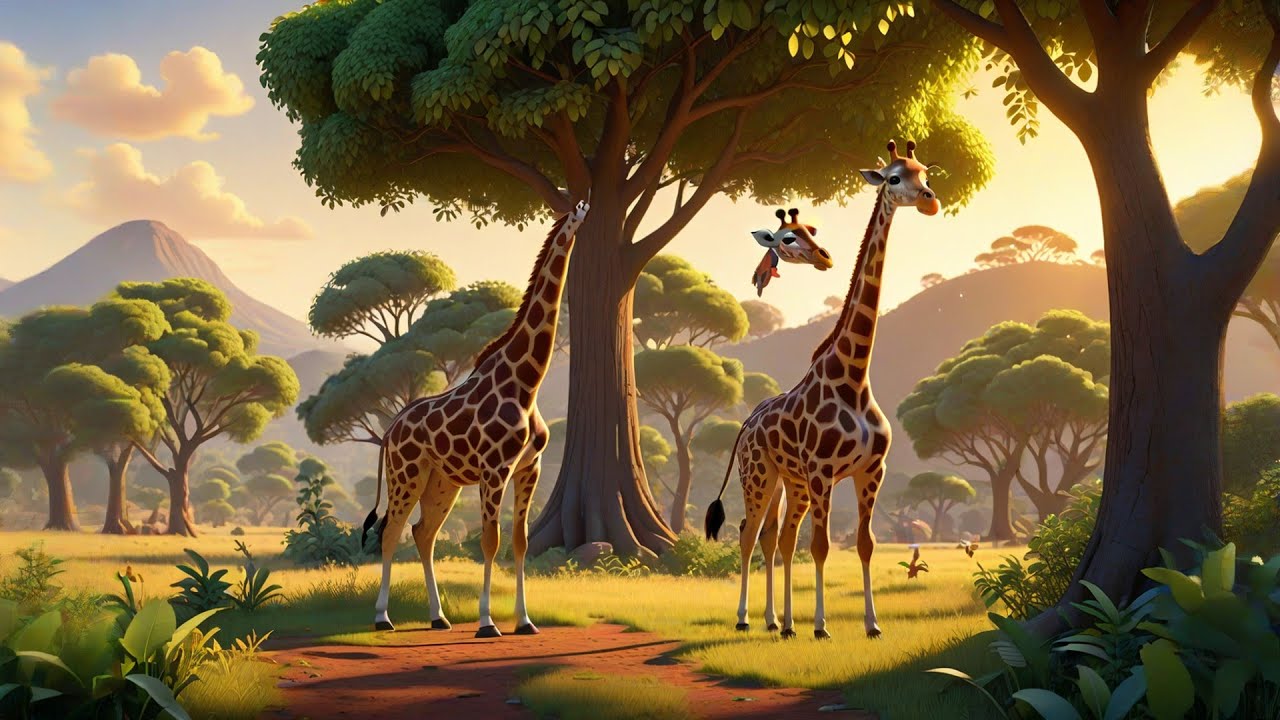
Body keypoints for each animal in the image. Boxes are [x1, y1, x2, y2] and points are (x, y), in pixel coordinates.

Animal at [362, 199, 589, 639]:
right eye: (575, 213)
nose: (585, 215)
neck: (527, 382)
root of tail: (390, 430)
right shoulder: (494, 469)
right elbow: (490, 541)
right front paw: (487, 622)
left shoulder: (529, 468)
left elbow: (519, 542)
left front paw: (525, 621)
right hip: (406, 473)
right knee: (391, 531)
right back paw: (382, 617)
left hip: (442, 481)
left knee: (423, 533)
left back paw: (438, 617)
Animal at [705, 140, 941, 639]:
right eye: (895, 177)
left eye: (925, 172)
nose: (930, 200)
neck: (853, 376)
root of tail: (746, 426)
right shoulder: (822, 473)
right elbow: (821, 547)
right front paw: (820, 625)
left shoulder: (871, 471)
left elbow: (865, 544)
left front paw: (872, 625)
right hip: (760, 474)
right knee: (749, 533)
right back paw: (746, 618)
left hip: (788, 481)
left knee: (778, 538)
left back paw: (779, 622)